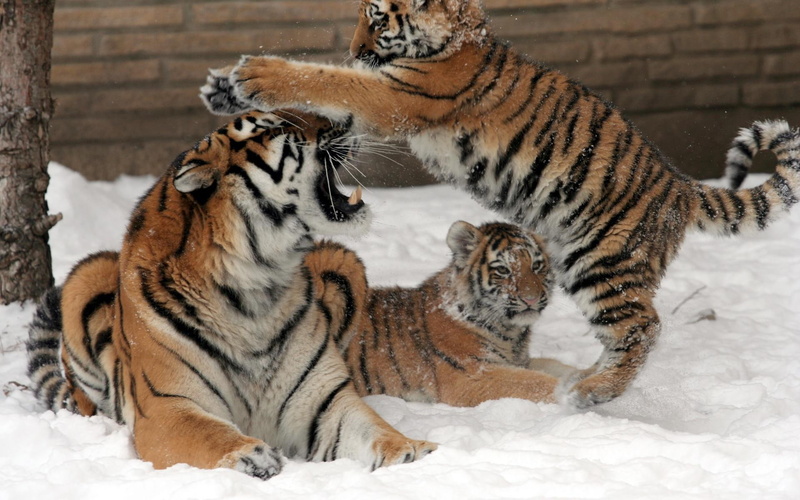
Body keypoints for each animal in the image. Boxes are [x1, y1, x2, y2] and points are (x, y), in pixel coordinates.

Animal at [26, 110, 436, 480]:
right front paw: (251, 456)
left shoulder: (325, 401)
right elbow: (207, 434)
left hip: (344, 260)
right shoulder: (166, 406)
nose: (347, 120)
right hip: (86, 275)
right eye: (275, 127)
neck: (255, 284)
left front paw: (412, 452)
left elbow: (374, 428)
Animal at [305, 221, 575, 407]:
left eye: (537, 266)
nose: (531, 298)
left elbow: (555, 367)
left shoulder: (517, 361)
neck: (510, 332)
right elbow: (536, 382)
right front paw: (576, 392)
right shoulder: (472, 375)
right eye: (503, 270)